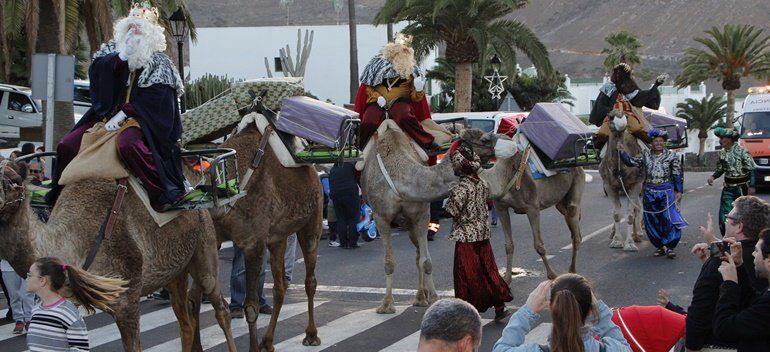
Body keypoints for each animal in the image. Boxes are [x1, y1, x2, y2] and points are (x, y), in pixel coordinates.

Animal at [0, 160, 237, 352]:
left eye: (13, 180)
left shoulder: (128, 299)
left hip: (205, 242)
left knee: (219, 306)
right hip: (174, 269)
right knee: (186, 318)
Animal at [202, 113, 322, 352]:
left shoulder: (253, 243)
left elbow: (251, 307)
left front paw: (252, 347)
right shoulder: (215, 241)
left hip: (312, 225)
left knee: (310, 281)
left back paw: (311, 335)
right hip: (278, 237)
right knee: (279, 287)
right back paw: (267, 341)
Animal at [360, 120, 456, 314]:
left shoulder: (422, 215)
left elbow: (426, 261)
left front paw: (434, 298)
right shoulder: (381, 217)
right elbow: (389, 262)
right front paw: (386, 304)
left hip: (411, 223)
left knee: (419, 254)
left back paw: (422, 297)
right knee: (417, 253)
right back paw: (420, 297)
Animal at [460, 129, 584, 280]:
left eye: (482, 140)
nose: (458, 148)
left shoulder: (532, 207)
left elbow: (539, 245)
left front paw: (552, 275)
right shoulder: (501, 208)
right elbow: (509, 245)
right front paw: (507, 279)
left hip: (576, 184)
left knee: (575, 229)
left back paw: (573, 271)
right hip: (560, 202)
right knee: (572, 222)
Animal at [596, 111, 644, 252]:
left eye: (627, 116)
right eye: (610, 116)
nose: (622, 124)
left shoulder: (635, 184)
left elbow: (630, 214)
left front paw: (629, 243)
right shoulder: (609, 185)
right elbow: (616, 213)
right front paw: (617, 241)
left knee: (638, 206)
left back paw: (638, 233)